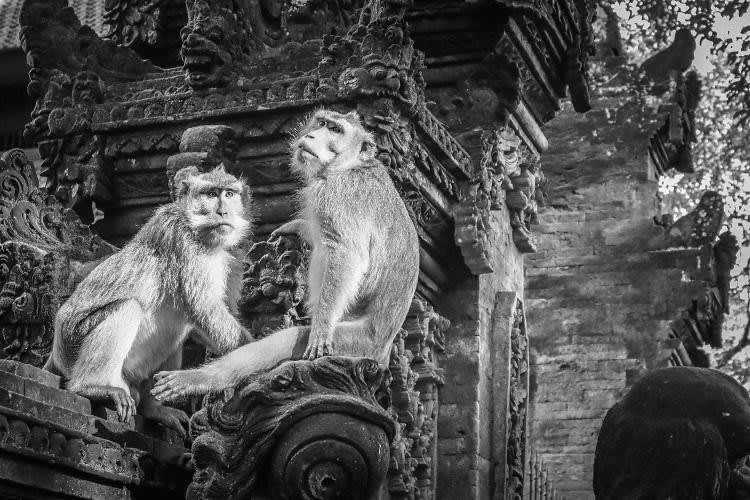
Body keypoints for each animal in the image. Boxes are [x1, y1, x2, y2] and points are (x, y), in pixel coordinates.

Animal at [44, 164, 253, 433]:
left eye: (229, 194)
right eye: (210, 194)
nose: (223, 211)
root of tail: (54, 354)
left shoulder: (234, 257)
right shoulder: (181, 237)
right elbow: (203, 307)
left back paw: (152, 408)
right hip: (73, 344)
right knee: (129, 307)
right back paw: (92, 386)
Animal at [150, 109, 420, 403]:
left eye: (335, 130)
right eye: (322, 123)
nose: (311, 136)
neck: (350, 166)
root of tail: (382, 353)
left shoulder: (337, 194)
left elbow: (345, 254)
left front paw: (322, 325)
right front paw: (297, 227)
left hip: (357, 342)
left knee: (289, 338)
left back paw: (202, 379)